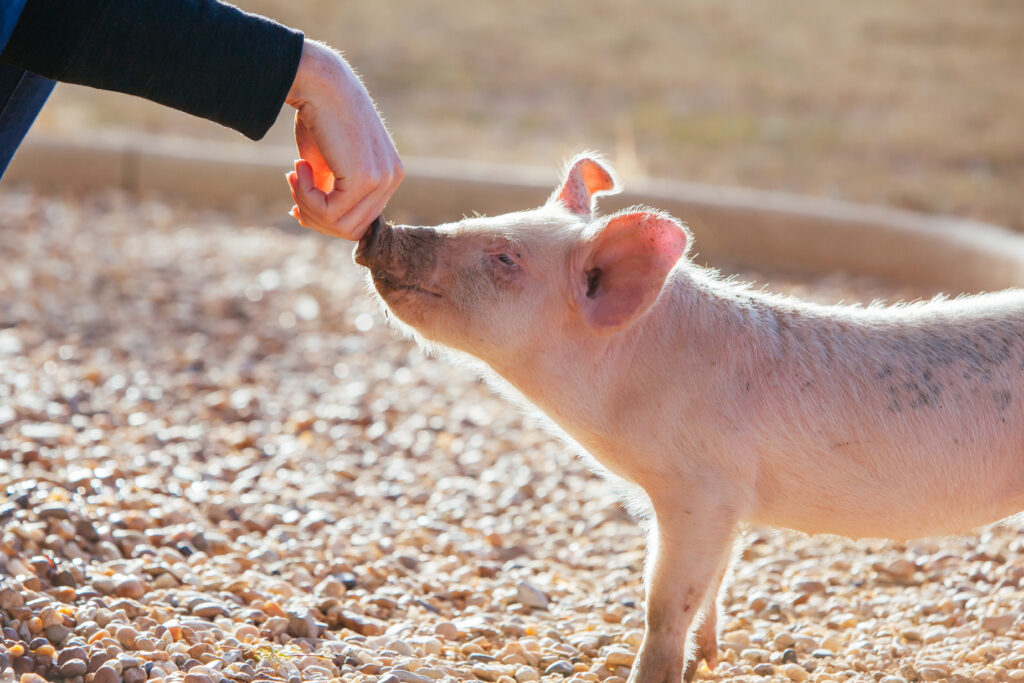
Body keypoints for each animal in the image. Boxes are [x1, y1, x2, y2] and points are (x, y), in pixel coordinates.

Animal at [352, 156, 1024, 683]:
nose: (381, 228)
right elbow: (715, 582)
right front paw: (710, 661)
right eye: (483, 220)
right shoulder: (727, 508)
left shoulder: (702, 488)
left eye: (505, 258)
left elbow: (665, 602)